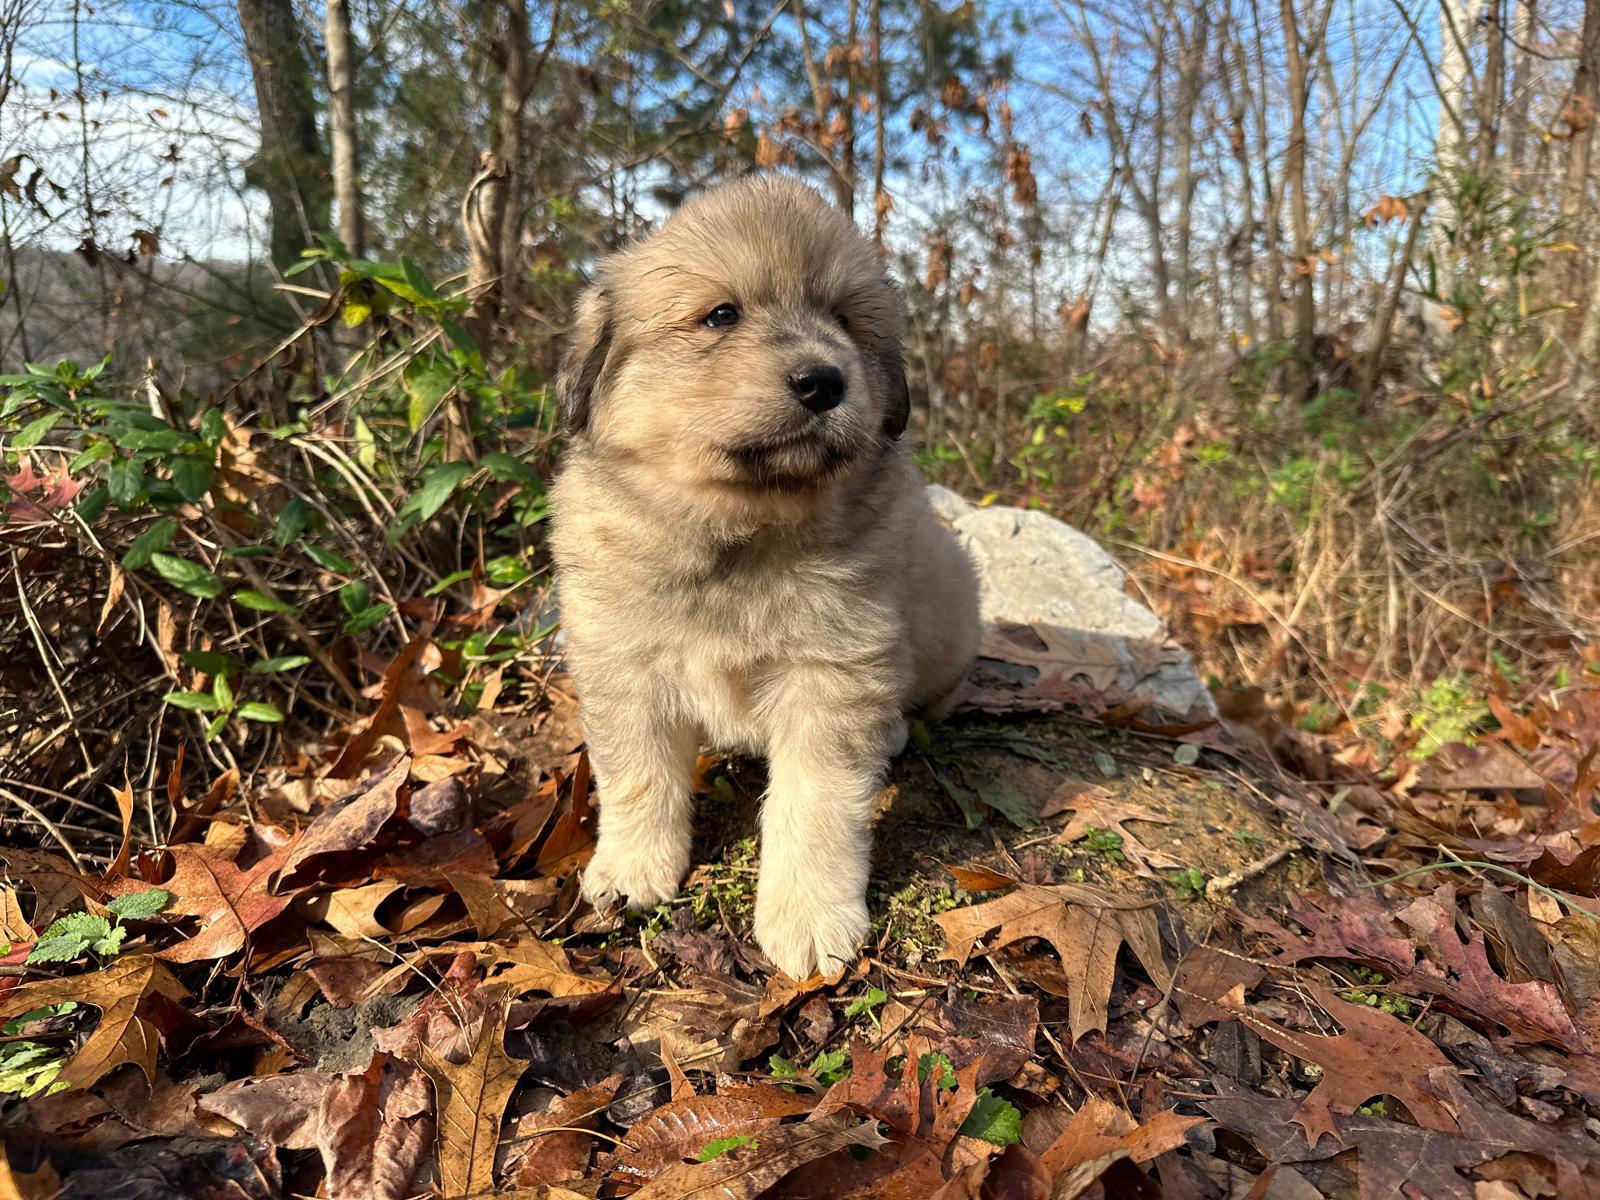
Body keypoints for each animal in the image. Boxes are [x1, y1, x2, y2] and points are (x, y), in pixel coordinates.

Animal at [548, 174, 981, 978]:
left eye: (844, 319)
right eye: (721, 315)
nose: (824, 382)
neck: (742, 533)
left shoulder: (834, 677)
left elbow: (815, 807)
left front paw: (808, 916)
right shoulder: (625, 668)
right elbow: (638, 778)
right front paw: (631, 870)